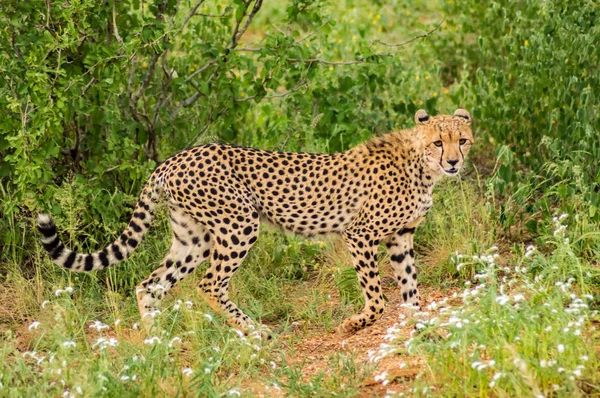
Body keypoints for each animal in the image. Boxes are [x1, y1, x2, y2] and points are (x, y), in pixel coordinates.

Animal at [38, 108, 474, 332]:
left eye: (463, 140)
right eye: (439, 142)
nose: (454, 162)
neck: (421, 166)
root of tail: (173, 159)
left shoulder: (402, 237)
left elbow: (410, 287)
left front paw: (417, 325)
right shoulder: (360, 233)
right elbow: (378, 295)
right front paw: (358, 322)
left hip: (193, 238)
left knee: (151, 284)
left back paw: (154, 342)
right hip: (239, 224)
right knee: (209, 284)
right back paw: (252, 329)